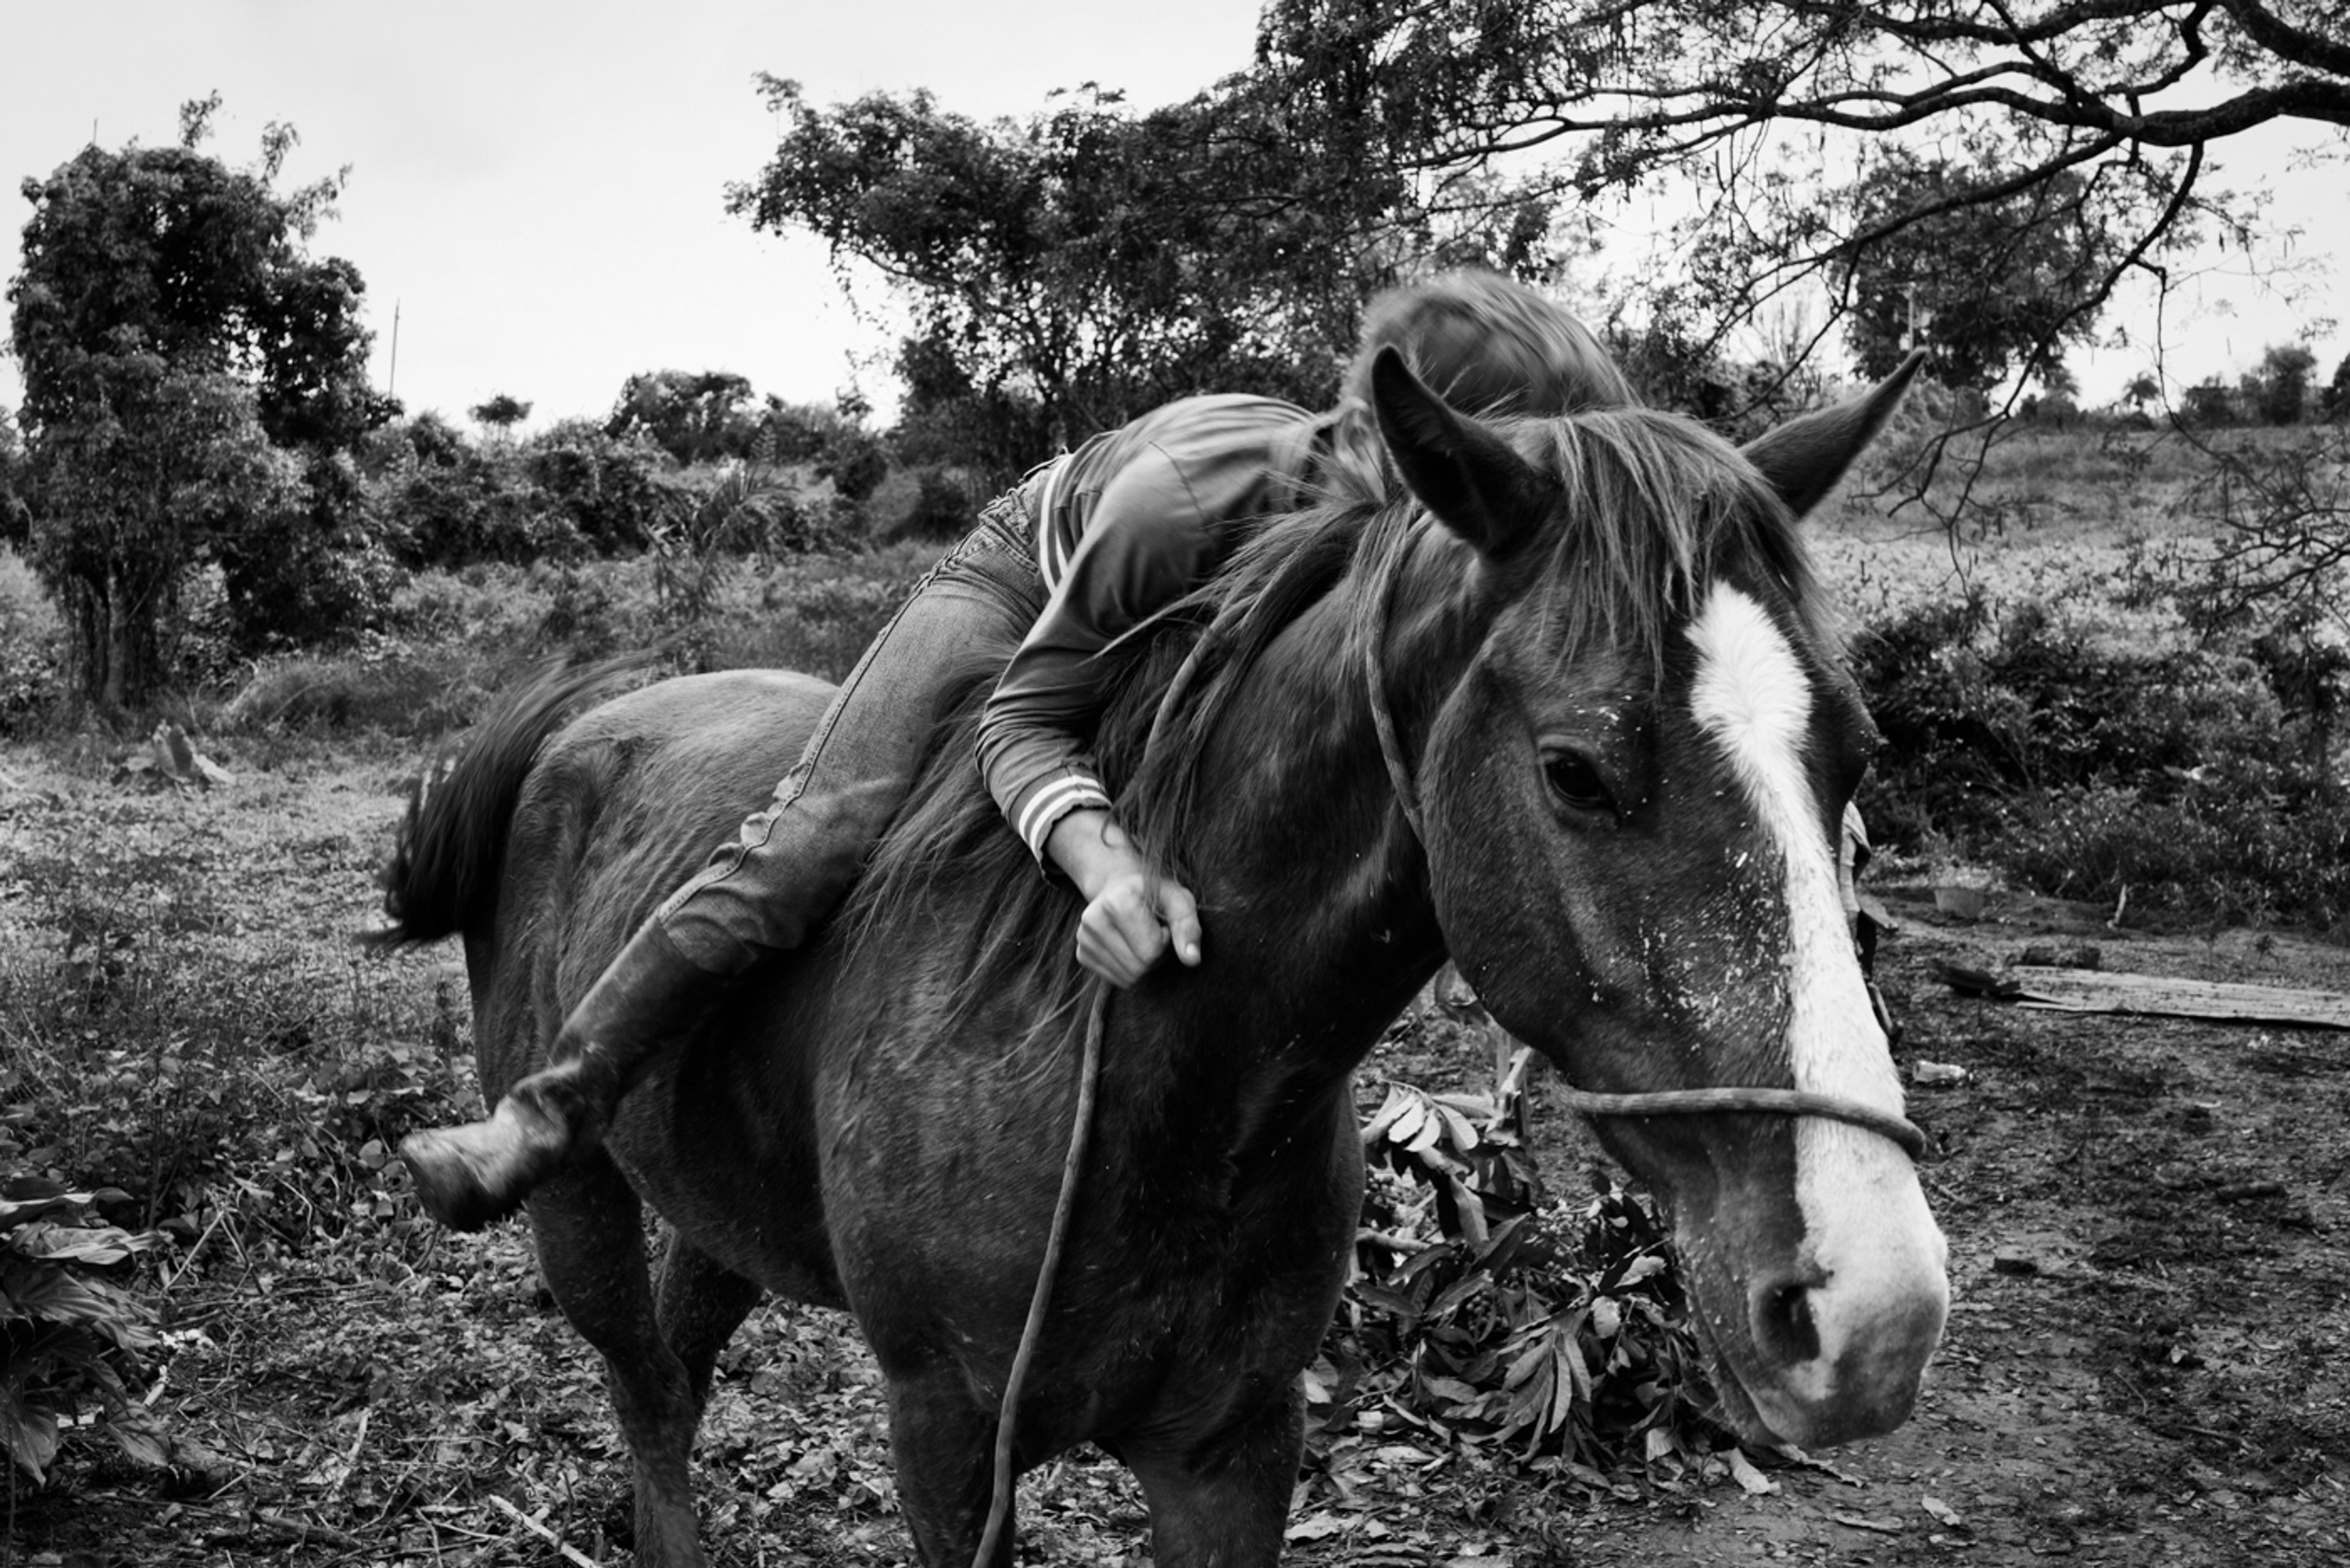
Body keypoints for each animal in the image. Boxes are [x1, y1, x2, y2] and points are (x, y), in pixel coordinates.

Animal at [371, 348, 1946, 1567]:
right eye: (1575, 773)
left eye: (1857, 752)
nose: (1872, 1311)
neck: (1154, 1071)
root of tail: (584, 731)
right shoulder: (948, 1441)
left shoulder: (1233, 1450)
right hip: (583, 1198)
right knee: (643, 1394)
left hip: (719, 1211)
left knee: (683, 1376)